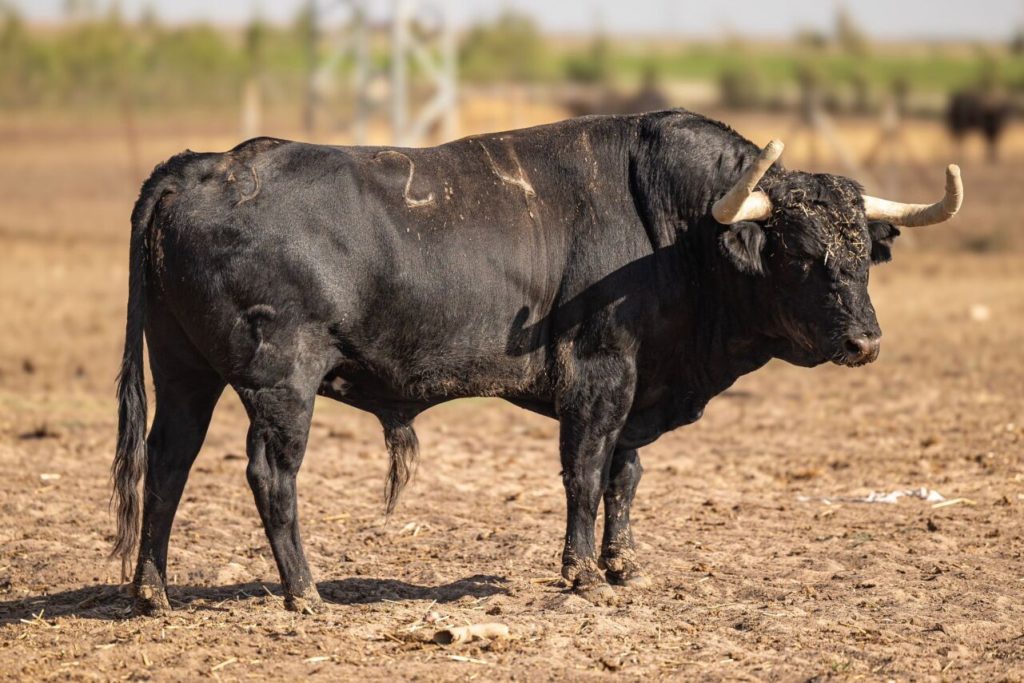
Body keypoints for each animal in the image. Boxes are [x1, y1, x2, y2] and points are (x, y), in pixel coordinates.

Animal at [116, 108, 909, 614]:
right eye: (800, 255)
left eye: (863, 252)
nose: (866, 342)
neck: (669, 227)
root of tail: (203, 166)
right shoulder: (599, 374)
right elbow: (586, 473)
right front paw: (583, 574)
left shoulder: (637, 387)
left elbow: (625, 475)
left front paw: (623, 564)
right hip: (281, 381)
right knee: (269, 474)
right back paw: (305, 591)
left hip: (184, 370)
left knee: (168, 460)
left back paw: (152, 590)